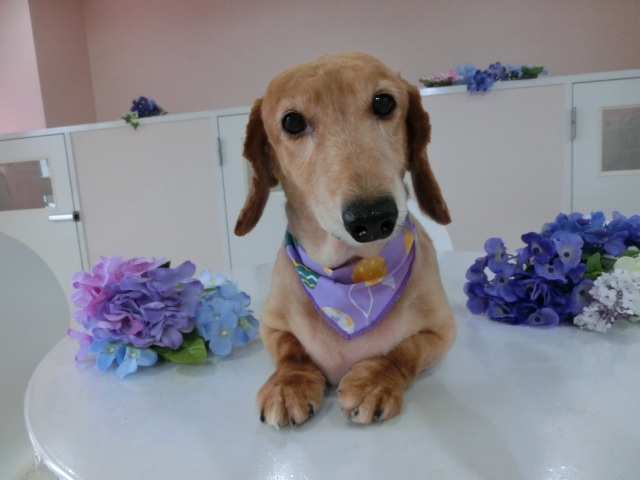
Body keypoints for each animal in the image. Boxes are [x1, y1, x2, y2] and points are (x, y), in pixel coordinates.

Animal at [235, 53, 455, 428]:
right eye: (292, 122)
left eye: (384, 102)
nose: (373, 217)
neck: (351, 274)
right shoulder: (271, 325)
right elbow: (292, 352)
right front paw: (289, 384)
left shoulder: (443, 330)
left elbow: (406, 351)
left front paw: (375, 381)